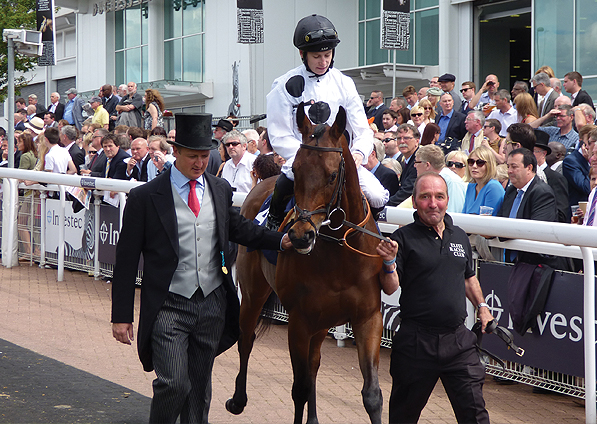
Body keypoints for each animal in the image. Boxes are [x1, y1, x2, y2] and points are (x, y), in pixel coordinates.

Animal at [226, 103, 384, 424]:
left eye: (333, 174)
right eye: (296, 172)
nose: (300, 236)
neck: (340, 256)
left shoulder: (368, 318)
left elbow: (372, 394)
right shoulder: (299, 321)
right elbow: (298, 388)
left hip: (322, 322)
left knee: (313, 363)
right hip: (252, 294)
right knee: (246, 338)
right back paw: (238, 399)